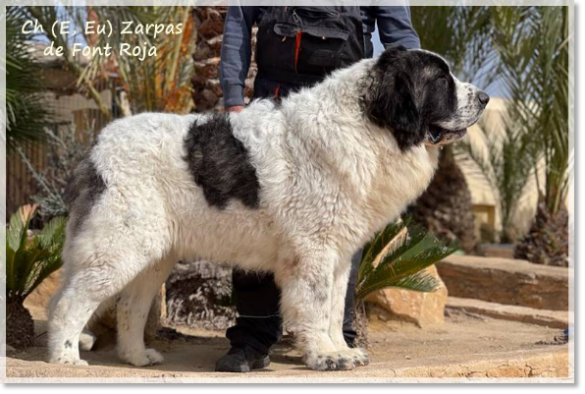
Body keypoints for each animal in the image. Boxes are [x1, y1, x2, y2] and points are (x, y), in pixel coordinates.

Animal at [49, 46, 488, 370]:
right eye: (441, 80)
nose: (484, 97)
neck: (368, 124)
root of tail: (96, 147)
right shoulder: (313, 253)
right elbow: (314, 304)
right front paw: (324, 356)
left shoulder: (338, 256)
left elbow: (333, 307)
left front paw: (340, 350)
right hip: (119, 248)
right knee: (69, 302)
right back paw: (66, 358)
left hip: (152, 255)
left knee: (128, 306)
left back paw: (136, 357)